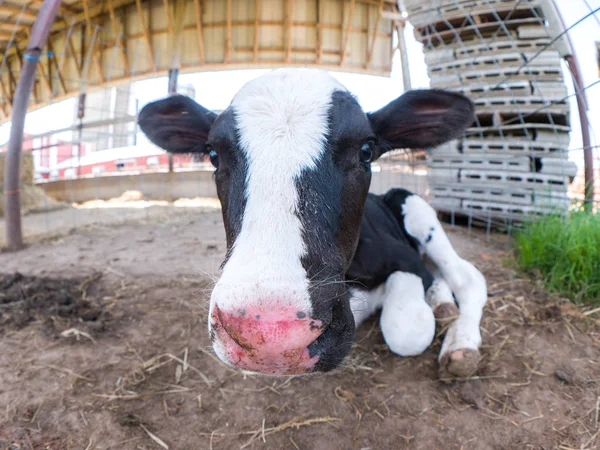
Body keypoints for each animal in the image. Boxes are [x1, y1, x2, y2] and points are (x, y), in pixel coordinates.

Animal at [139, 68, 488, 378]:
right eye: (213, 154)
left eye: (366, 149)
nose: (270, 336)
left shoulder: (406, 259)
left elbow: (408, 330)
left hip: (416, 209)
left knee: (467, 277)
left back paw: (461, 345)